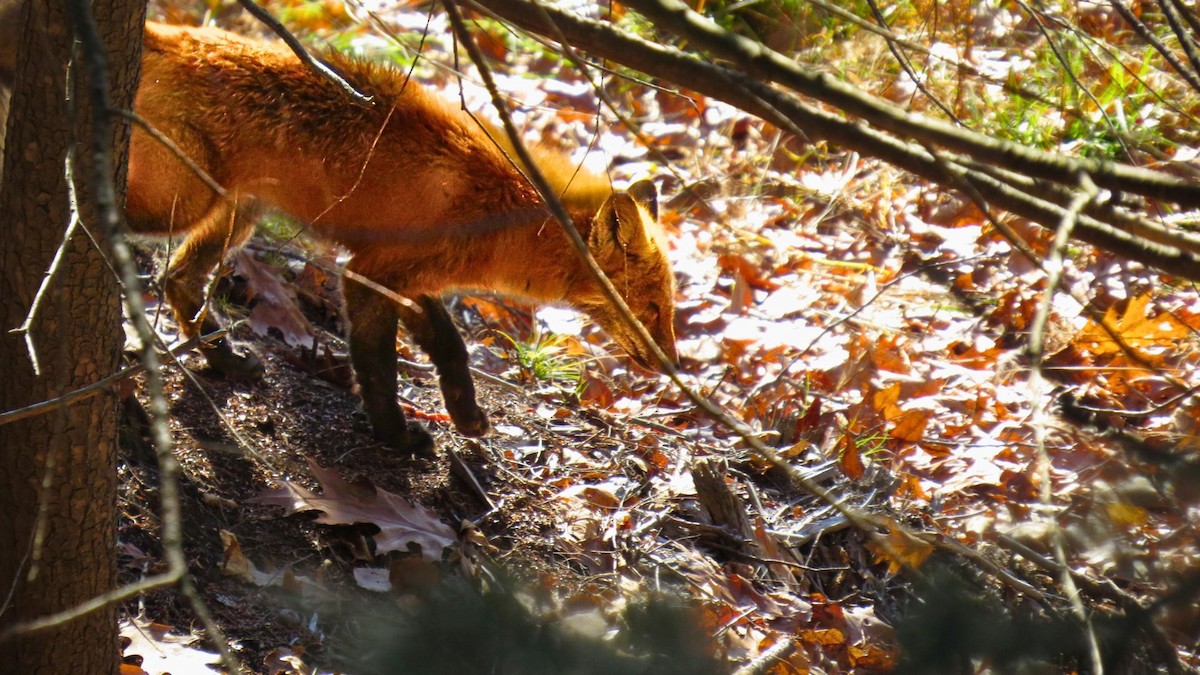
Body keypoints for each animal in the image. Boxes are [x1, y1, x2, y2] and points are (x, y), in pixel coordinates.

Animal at [0, 15, 678, 454]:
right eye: (651, 309)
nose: (673, 364)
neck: (501, 213)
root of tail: (171, 33)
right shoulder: (367, 276)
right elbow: (376, 364)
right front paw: (394, 436)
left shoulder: (402, 274)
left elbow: (450, 346)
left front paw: (464, 412)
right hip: (181, 203)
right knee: (129, 241)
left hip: (236, 211)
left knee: (179, 279)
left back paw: (223, 358)